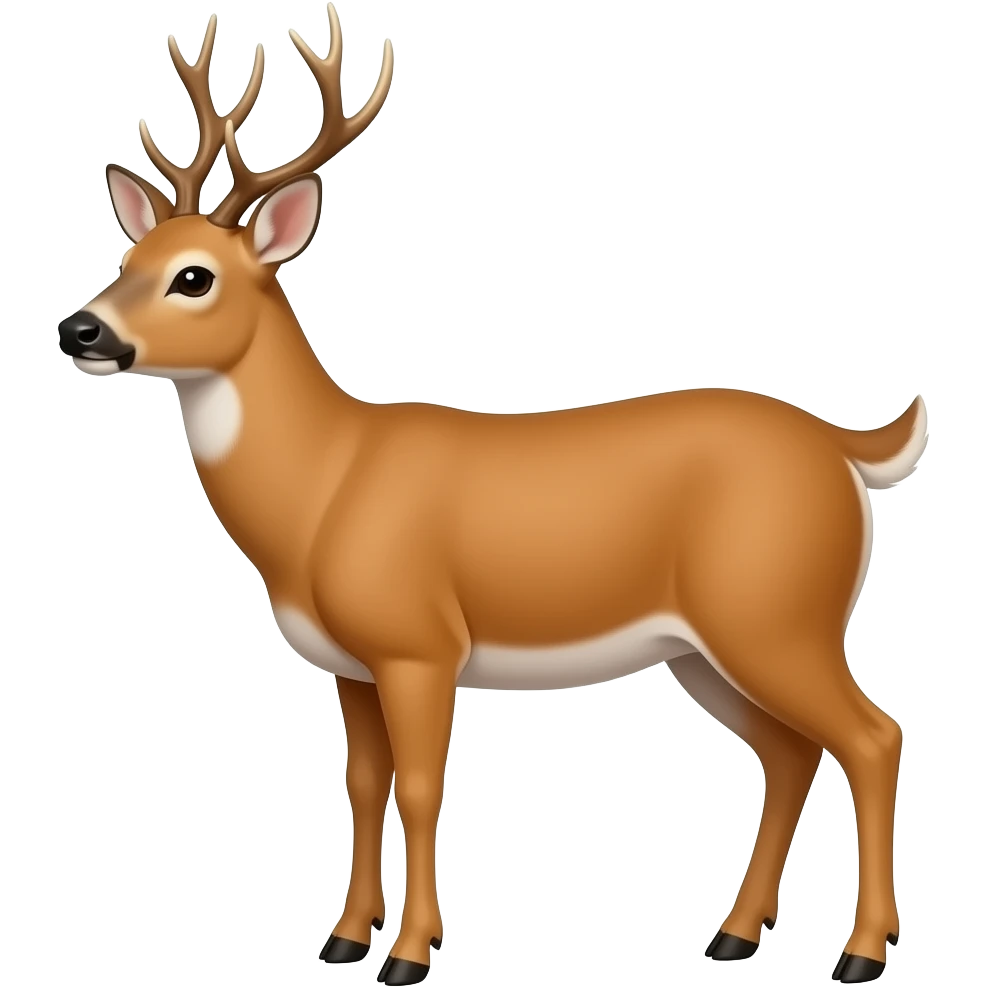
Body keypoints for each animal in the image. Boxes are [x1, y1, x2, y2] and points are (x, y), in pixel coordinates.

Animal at [55, 5, 926, 984]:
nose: (80, 329)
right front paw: (343, 937)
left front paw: (409, 952)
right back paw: (732, 935)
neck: (324, 486)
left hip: (777, 612)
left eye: (194, 276)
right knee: (789, 751)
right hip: (707, 644)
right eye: (129, 253)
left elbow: (421, 786)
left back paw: (859, 952)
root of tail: (843, 447)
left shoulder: (420, 642)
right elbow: (363, 785)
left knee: (872, 735)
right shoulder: (351, 663)